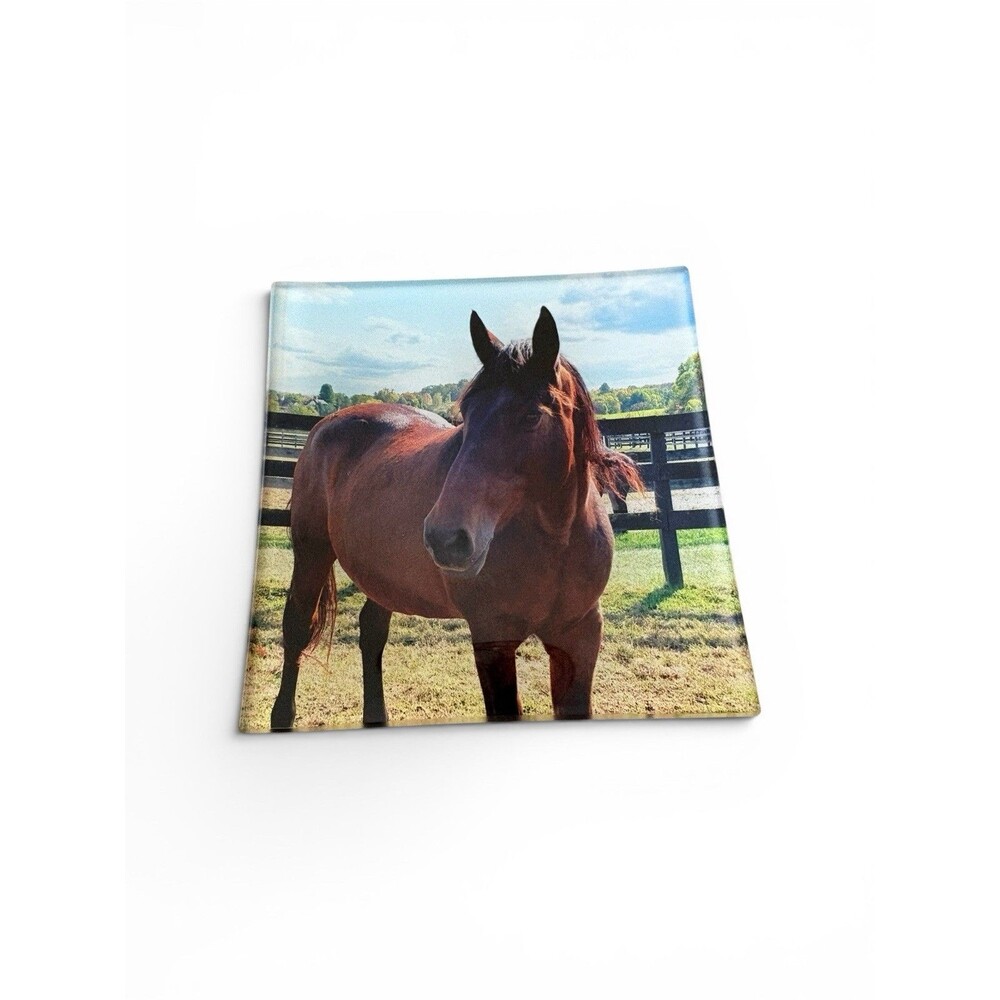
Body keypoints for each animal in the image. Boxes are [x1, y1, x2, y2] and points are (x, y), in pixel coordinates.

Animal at [270, 306, 643, 729]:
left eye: (532, 416)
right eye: (467, 413)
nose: (445, 538)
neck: (556, 540)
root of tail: (324, 425)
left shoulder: (579, 634)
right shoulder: (493, 638)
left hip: (382, 575)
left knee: (372, 631)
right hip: (312, 552)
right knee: (297, 628)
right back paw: (282, 716)